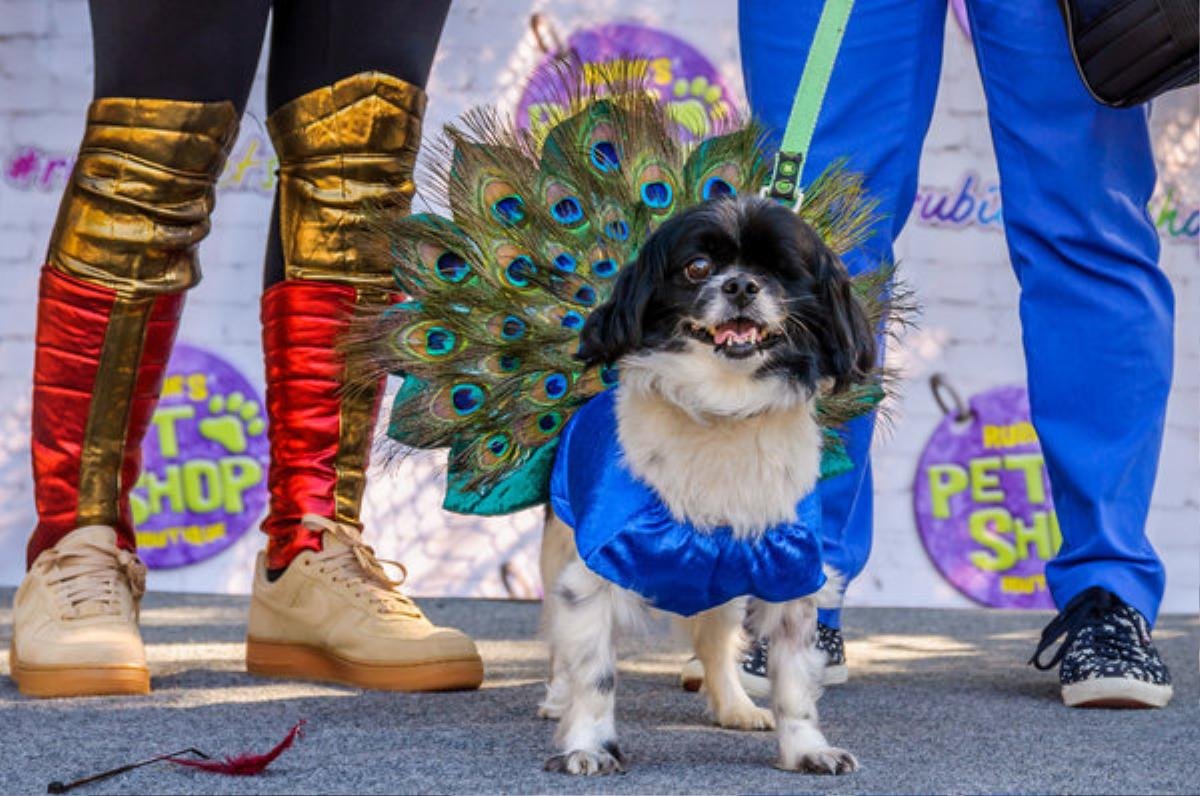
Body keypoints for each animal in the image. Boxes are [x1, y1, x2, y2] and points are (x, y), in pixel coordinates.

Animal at [535, 194, 873, 777]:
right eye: (696, 268)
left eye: (780, 270)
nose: (740, 285)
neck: (723, 408)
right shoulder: (595, 570)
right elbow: (595, 674)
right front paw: (588, 746)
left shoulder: (788, 568)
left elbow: (794, 683)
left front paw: (807, 749)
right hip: (559, 549)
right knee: (562, 642)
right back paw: (557, 697)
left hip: (727, 585)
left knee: (717, 645)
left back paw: (736, 706)